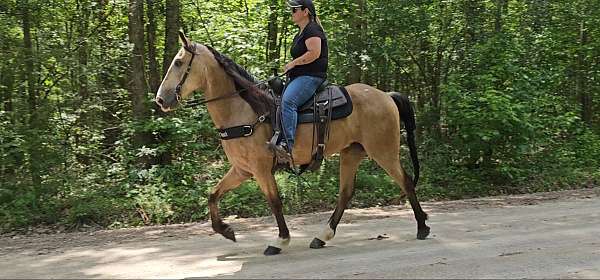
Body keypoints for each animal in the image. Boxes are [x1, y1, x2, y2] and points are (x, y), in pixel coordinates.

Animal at [152, 31, 428, 256]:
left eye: (178, 63)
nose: (160, 99)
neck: (243, 110)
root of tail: (386, 96)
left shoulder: (261, 169)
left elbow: (274, 202)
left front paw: (280, 240)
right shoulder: (242, 170)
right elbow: (213, 194)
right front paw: (226, 230)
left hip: (383, 151)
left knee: (405, 181)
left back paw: (422, 227)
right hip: (352, 153)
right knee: (346, 193)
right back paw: (322, 236)